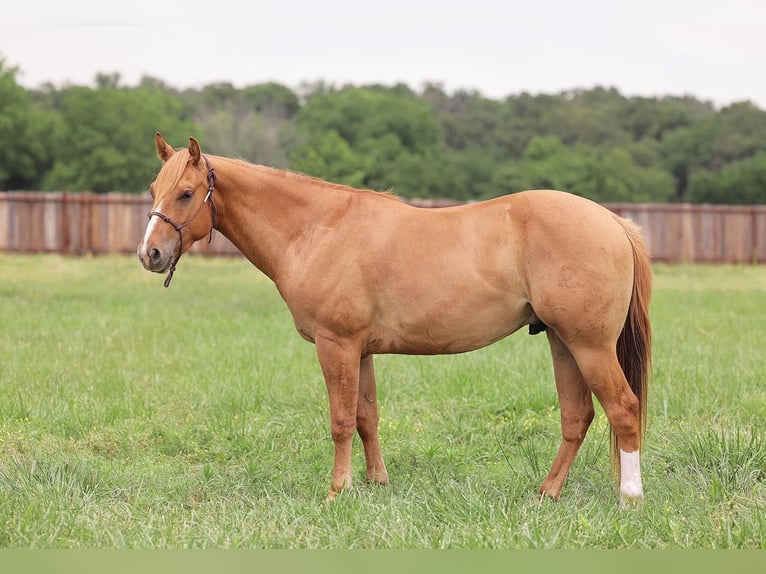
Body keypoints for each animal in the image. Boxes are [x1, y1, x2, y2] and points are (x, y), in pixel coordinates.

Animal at [137, 133, 652, 505]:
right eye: (154, 190)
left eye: (186, 193)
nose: (150, 254)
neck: (319, 228)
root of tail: (613, 222)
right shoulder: (360, 350)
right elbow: (367, 417)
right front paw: (376, 483)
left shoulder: (337, 345)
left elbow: (341, 420)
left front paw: (337, 492)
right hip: (563, 342)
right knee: (578, 416)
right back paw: (547, 494)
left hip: (589, 345)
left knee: (623, 410)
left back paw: (629, 498)